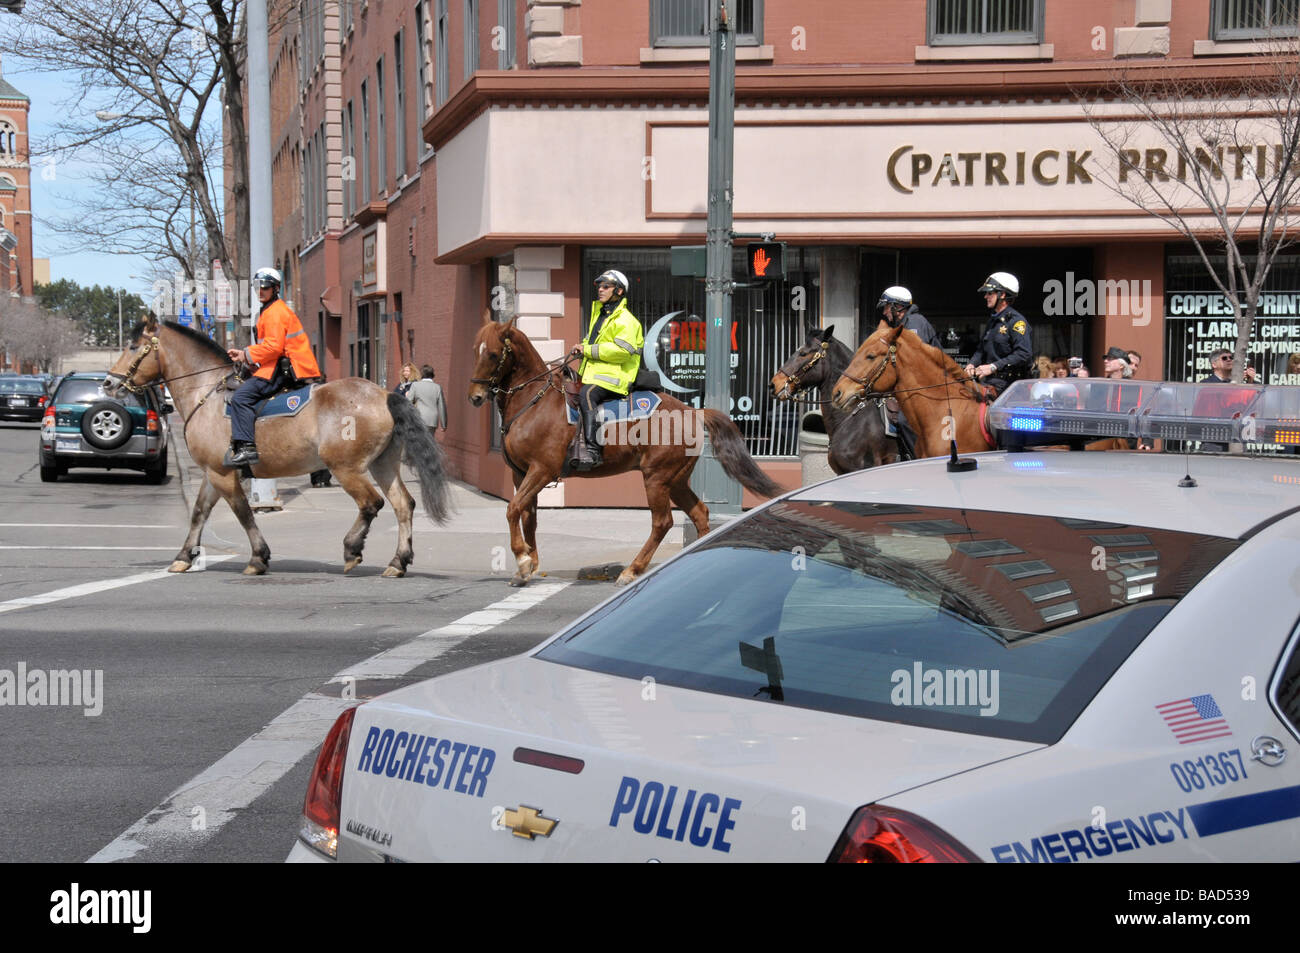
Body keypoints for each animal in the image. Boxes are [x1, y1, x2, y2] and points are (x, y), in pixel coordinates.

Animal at [105, 315, 452, 577]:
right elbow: (199, 513)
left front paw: (258, 557)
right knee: (403, 505)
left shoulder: (223, 474)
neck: (205, 393)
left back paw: (352, 549)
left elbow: (243, 512)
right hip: (383, 464)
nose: (109, 383)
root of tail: (383, 394)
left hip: (346, 467)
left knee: (371, 503)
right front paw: (183, 556)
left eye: (134, 346)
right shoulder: (211, 473)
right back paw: (398, 562)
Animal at [470, 317, 780, 587]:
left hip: (657, 477)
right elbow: (528, 517)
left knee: (662, 522)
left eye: (494, 354)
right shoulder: (520, 473)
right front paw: (528, 566)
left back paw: (632, 570)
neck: (534, 402)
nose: (475, 396)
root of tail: (693, 411)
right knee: (700, 513)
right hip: (676, 479)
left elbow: (512, 509)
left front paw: (523, 561)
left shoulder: (542, 470)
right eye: (476, 351)